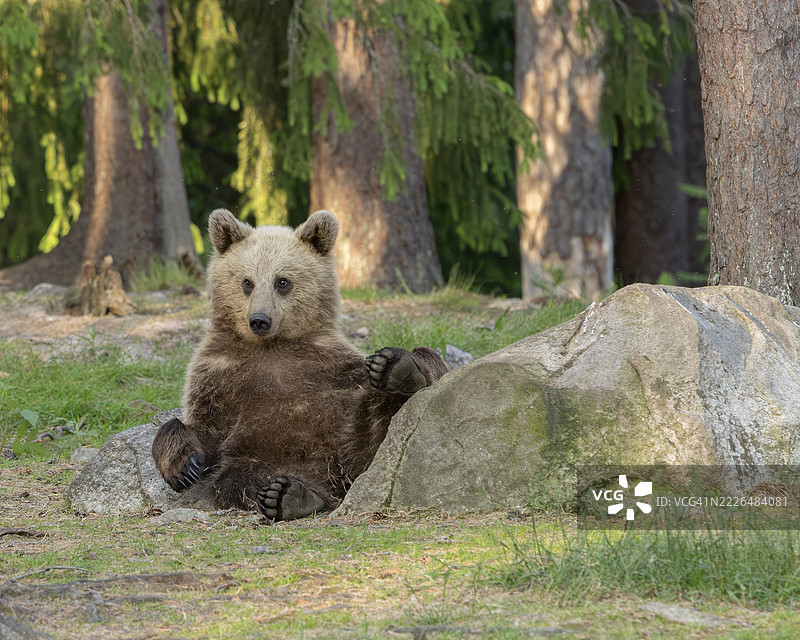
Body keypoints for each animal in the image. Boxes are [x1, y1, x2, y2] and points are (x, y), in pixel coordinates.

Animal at [151, 208, 448, 521]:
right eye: (247, 282)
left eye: (282, 281)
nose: (259, 320)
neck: (272, 346)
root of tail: (336, 478)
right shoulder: (220, 372)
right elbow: (203, 429)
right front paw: (184, 466)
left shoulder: (327, 361)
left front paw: (399, 367)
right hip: (259, 455)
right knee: (238, 477)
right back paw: (291, 495)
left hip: (355, 432)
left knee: (386, 417)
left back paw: (399, 370)